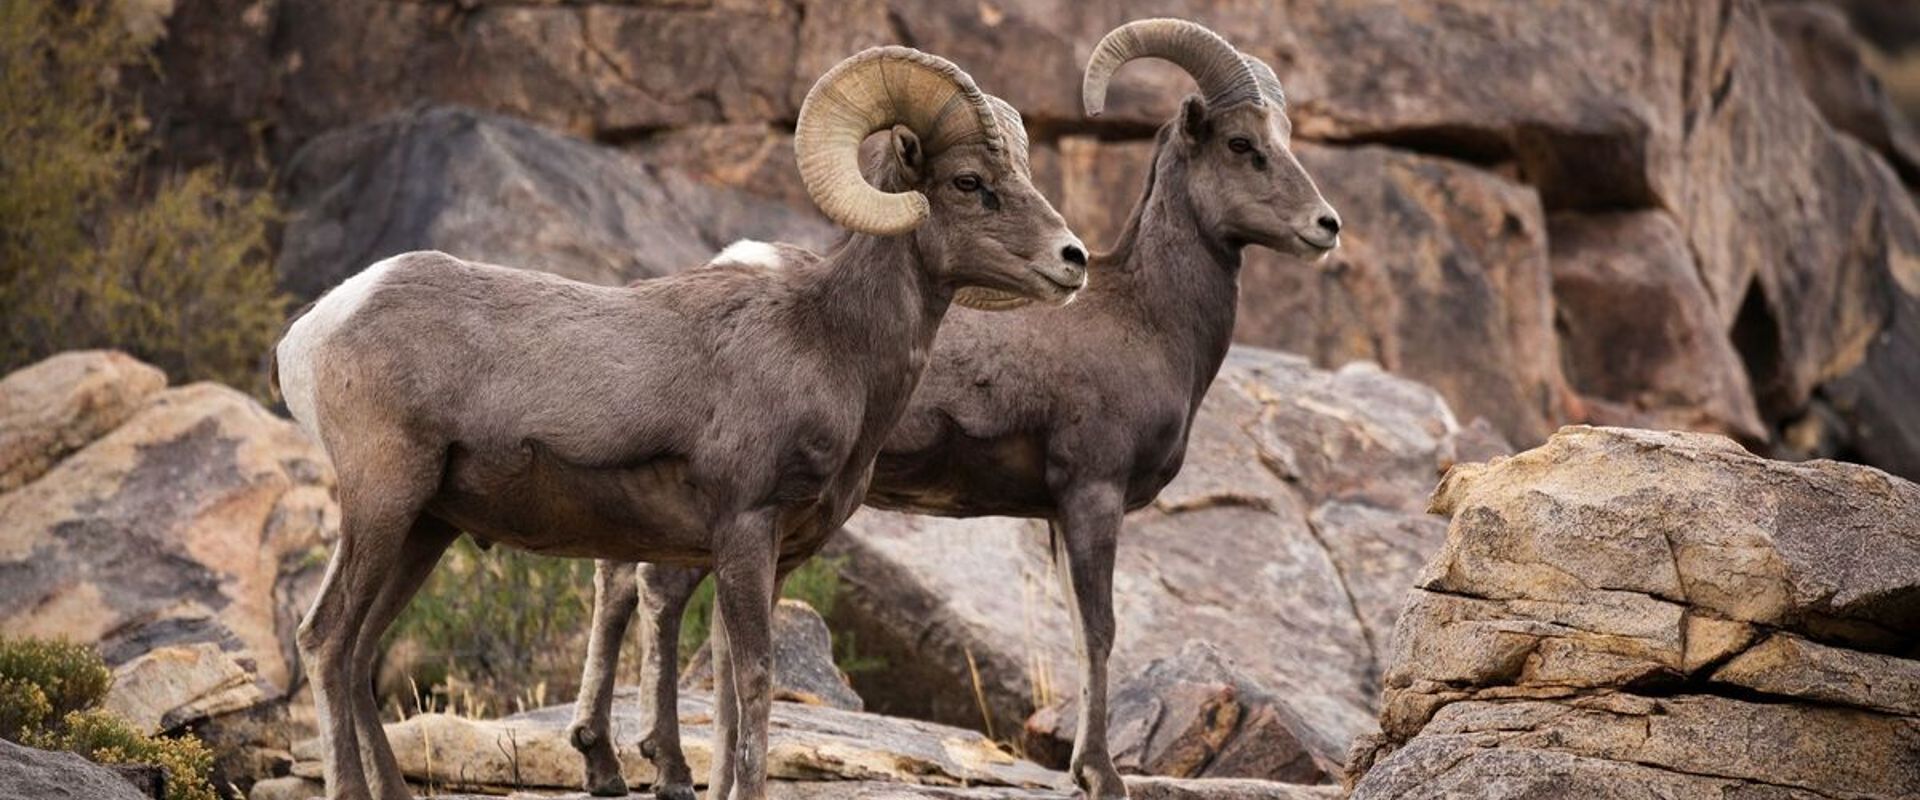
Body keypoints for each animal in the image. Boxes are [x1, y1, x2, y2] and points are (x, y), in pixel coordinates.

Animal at [274, 45, 1087, 800]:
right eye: (968, 183)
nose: (1072, 259)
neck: (831, 341)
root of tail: (314, 329)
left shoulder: (766, 556)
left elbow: (727, 692)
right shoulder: (745, 530)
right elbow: (754, 681)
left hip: (426, 528)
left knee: (360, 652)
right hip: (384, 503)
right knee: (327, 640)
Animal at [565, 19, 1340, 800]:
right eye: (1242, 145)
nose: (1326, 226)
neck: (1150, 317)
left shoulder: (1059, 516)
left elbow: (1077, 630)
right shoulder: (1093, 494)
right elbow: (1100, 631)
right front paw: (1101, 775)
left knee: (618, 582)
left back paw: (603, 758)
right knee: (658, 591)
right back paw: (665, 767)